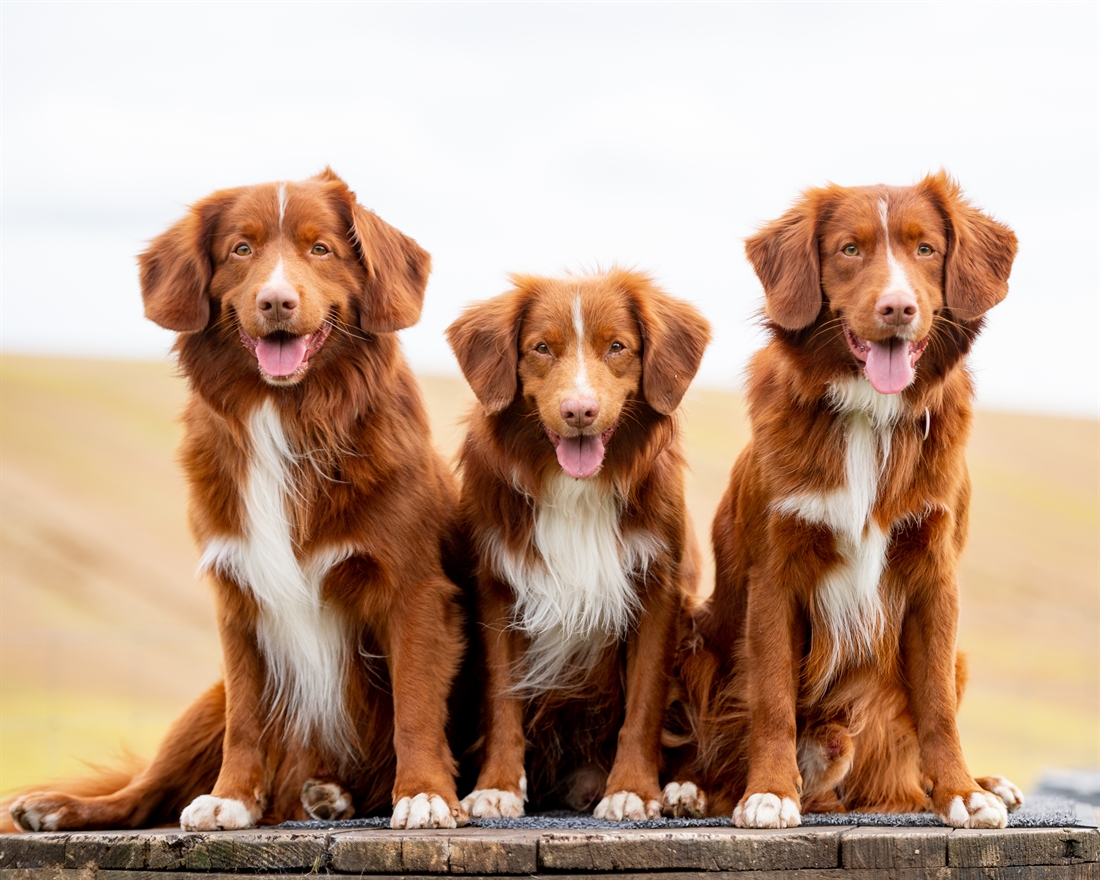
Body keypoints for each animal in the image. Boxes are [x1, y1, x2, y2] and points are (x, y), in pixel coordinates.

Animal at [11, 170, 468, 831]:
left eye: (321, 248)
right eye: (241, 250)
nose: (276, 302)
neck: (289, 414)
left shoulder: (413, 589)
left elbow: (415, 704)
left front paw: (426, 795)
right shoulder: (238, 595)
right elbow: (248, 719)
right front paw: (230, 798)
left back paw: (333, 796)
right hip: (207, 698)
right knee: (146, 790)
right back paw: (59, 806)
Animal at [442, 268, 708, 818]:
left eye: (617, 347)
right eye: (542, 348)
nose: (580, 411)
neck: (575, 487)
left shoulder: (657, 589)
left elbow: (645, 701)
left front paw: (632, 790)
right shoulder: (498, 588)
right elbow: (503, 697)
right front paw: (498, 786)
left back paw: (682, 789)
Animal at [673, 173, 1025, 831]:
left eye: (926, 249)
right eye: (850, 250)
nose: (897, 308)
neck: (869, 413)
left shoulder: (935, 572)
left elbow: (938, 705)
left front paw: (963, 793)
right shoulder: (776, 574)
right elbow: (773, 698)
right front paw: (769, 793)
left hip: (956, 658)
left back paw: (986, 783)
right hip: (698, 640)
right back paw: (692, 789)